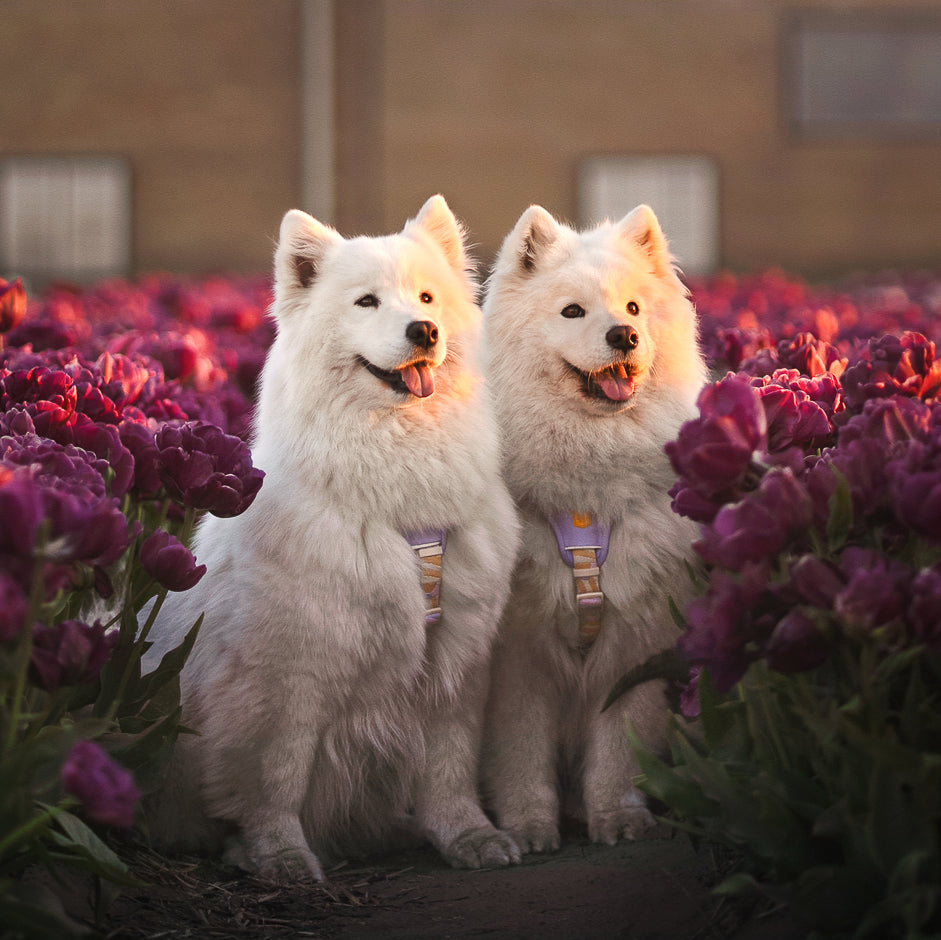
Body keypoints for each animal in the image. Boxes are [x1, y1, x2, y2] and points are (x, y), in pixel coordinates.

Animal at [144, 196, 521, 881]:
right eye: (366, 302)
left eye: (426, 297)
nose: (424, 330)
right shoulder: (285, 675)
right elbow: (276, 776)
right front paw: (280, 855)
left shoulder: (456, 658)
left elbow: (450, 770)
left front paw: (470, 836)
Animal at [480, 204, 706, 852]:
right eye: (573, 312)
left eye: (632, 308)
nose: (622, 335)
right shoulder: (518, 656)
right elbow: (520, 752)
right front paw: (529, 825)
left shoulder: (635, 642)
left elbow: (619, 749)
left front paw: (617, 816)